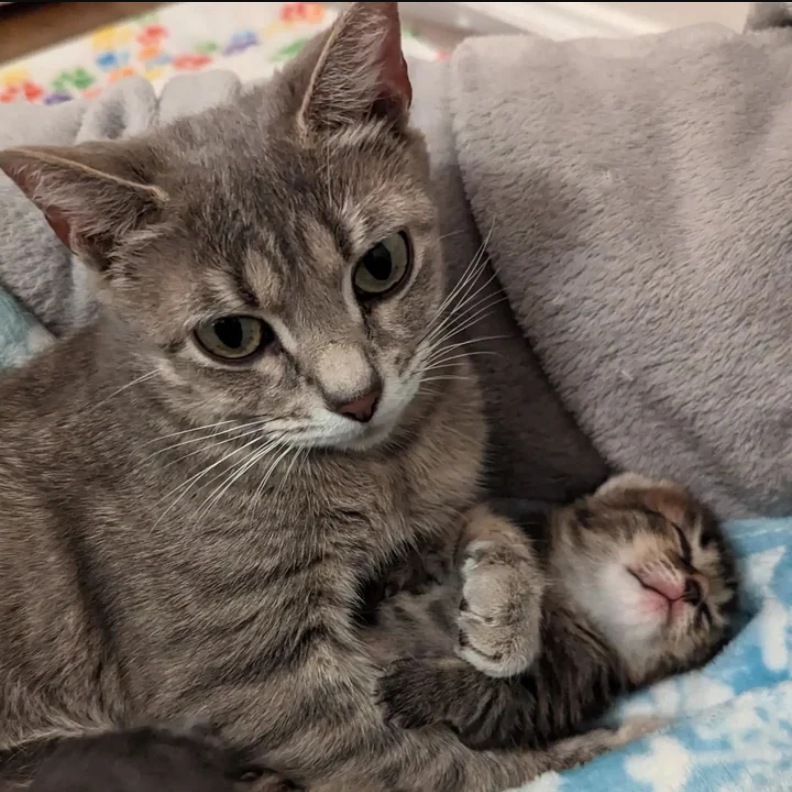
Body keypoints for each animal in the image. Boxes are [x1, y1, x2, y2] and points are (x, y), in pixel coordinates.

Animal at [0, 1, 644, 792]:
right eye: (232, 335)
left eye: (382, 264)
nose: (358, 396)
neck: (384, 468)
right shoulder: (249, 677)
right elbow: (417, 764)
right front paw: (589, 751)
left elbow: (488, 518)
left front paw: (505, 608)